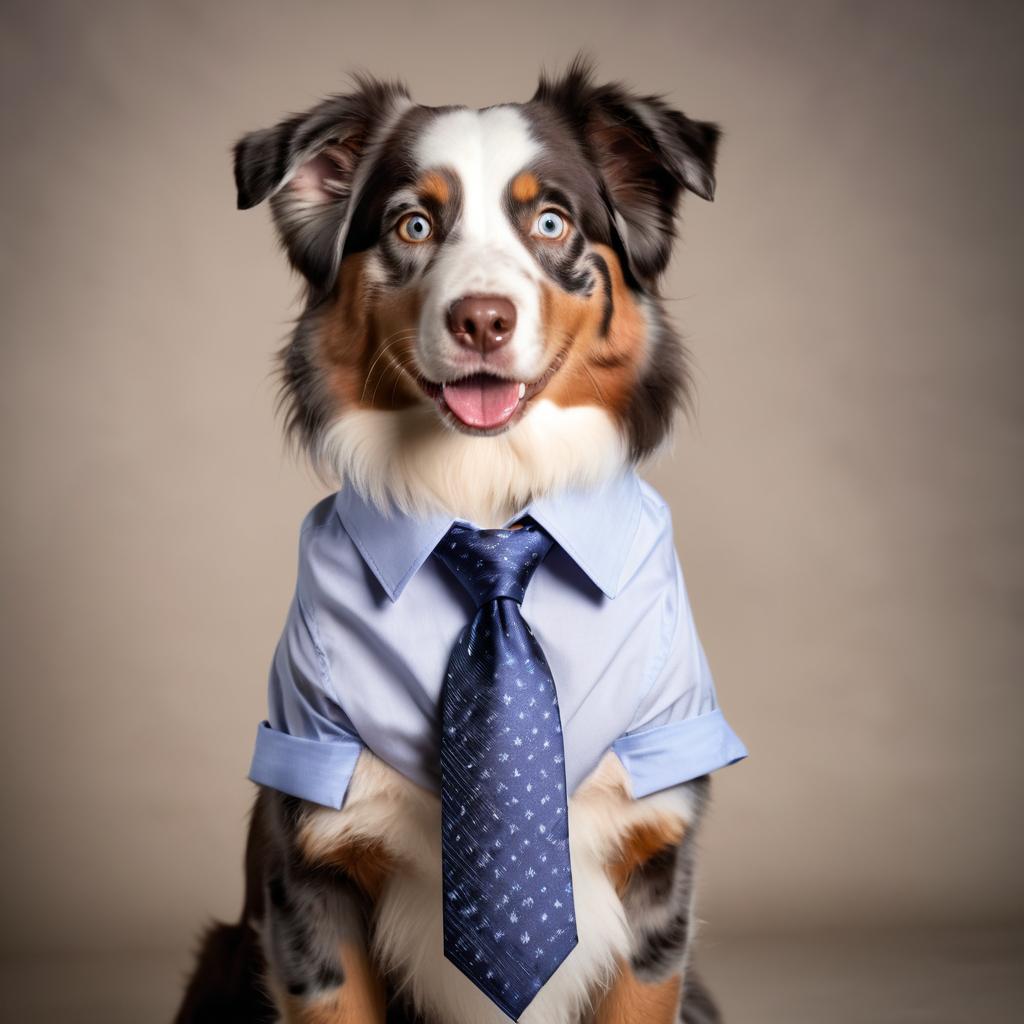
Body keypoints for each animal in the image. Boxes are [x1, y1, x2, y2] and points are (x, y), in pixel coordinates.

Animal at [176, 61, 749, 1024]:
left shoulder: (656, 876)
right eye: (413, 224)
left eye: (551, 222)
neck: (487, 510)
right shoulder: (313, 872)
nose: (482, 319)